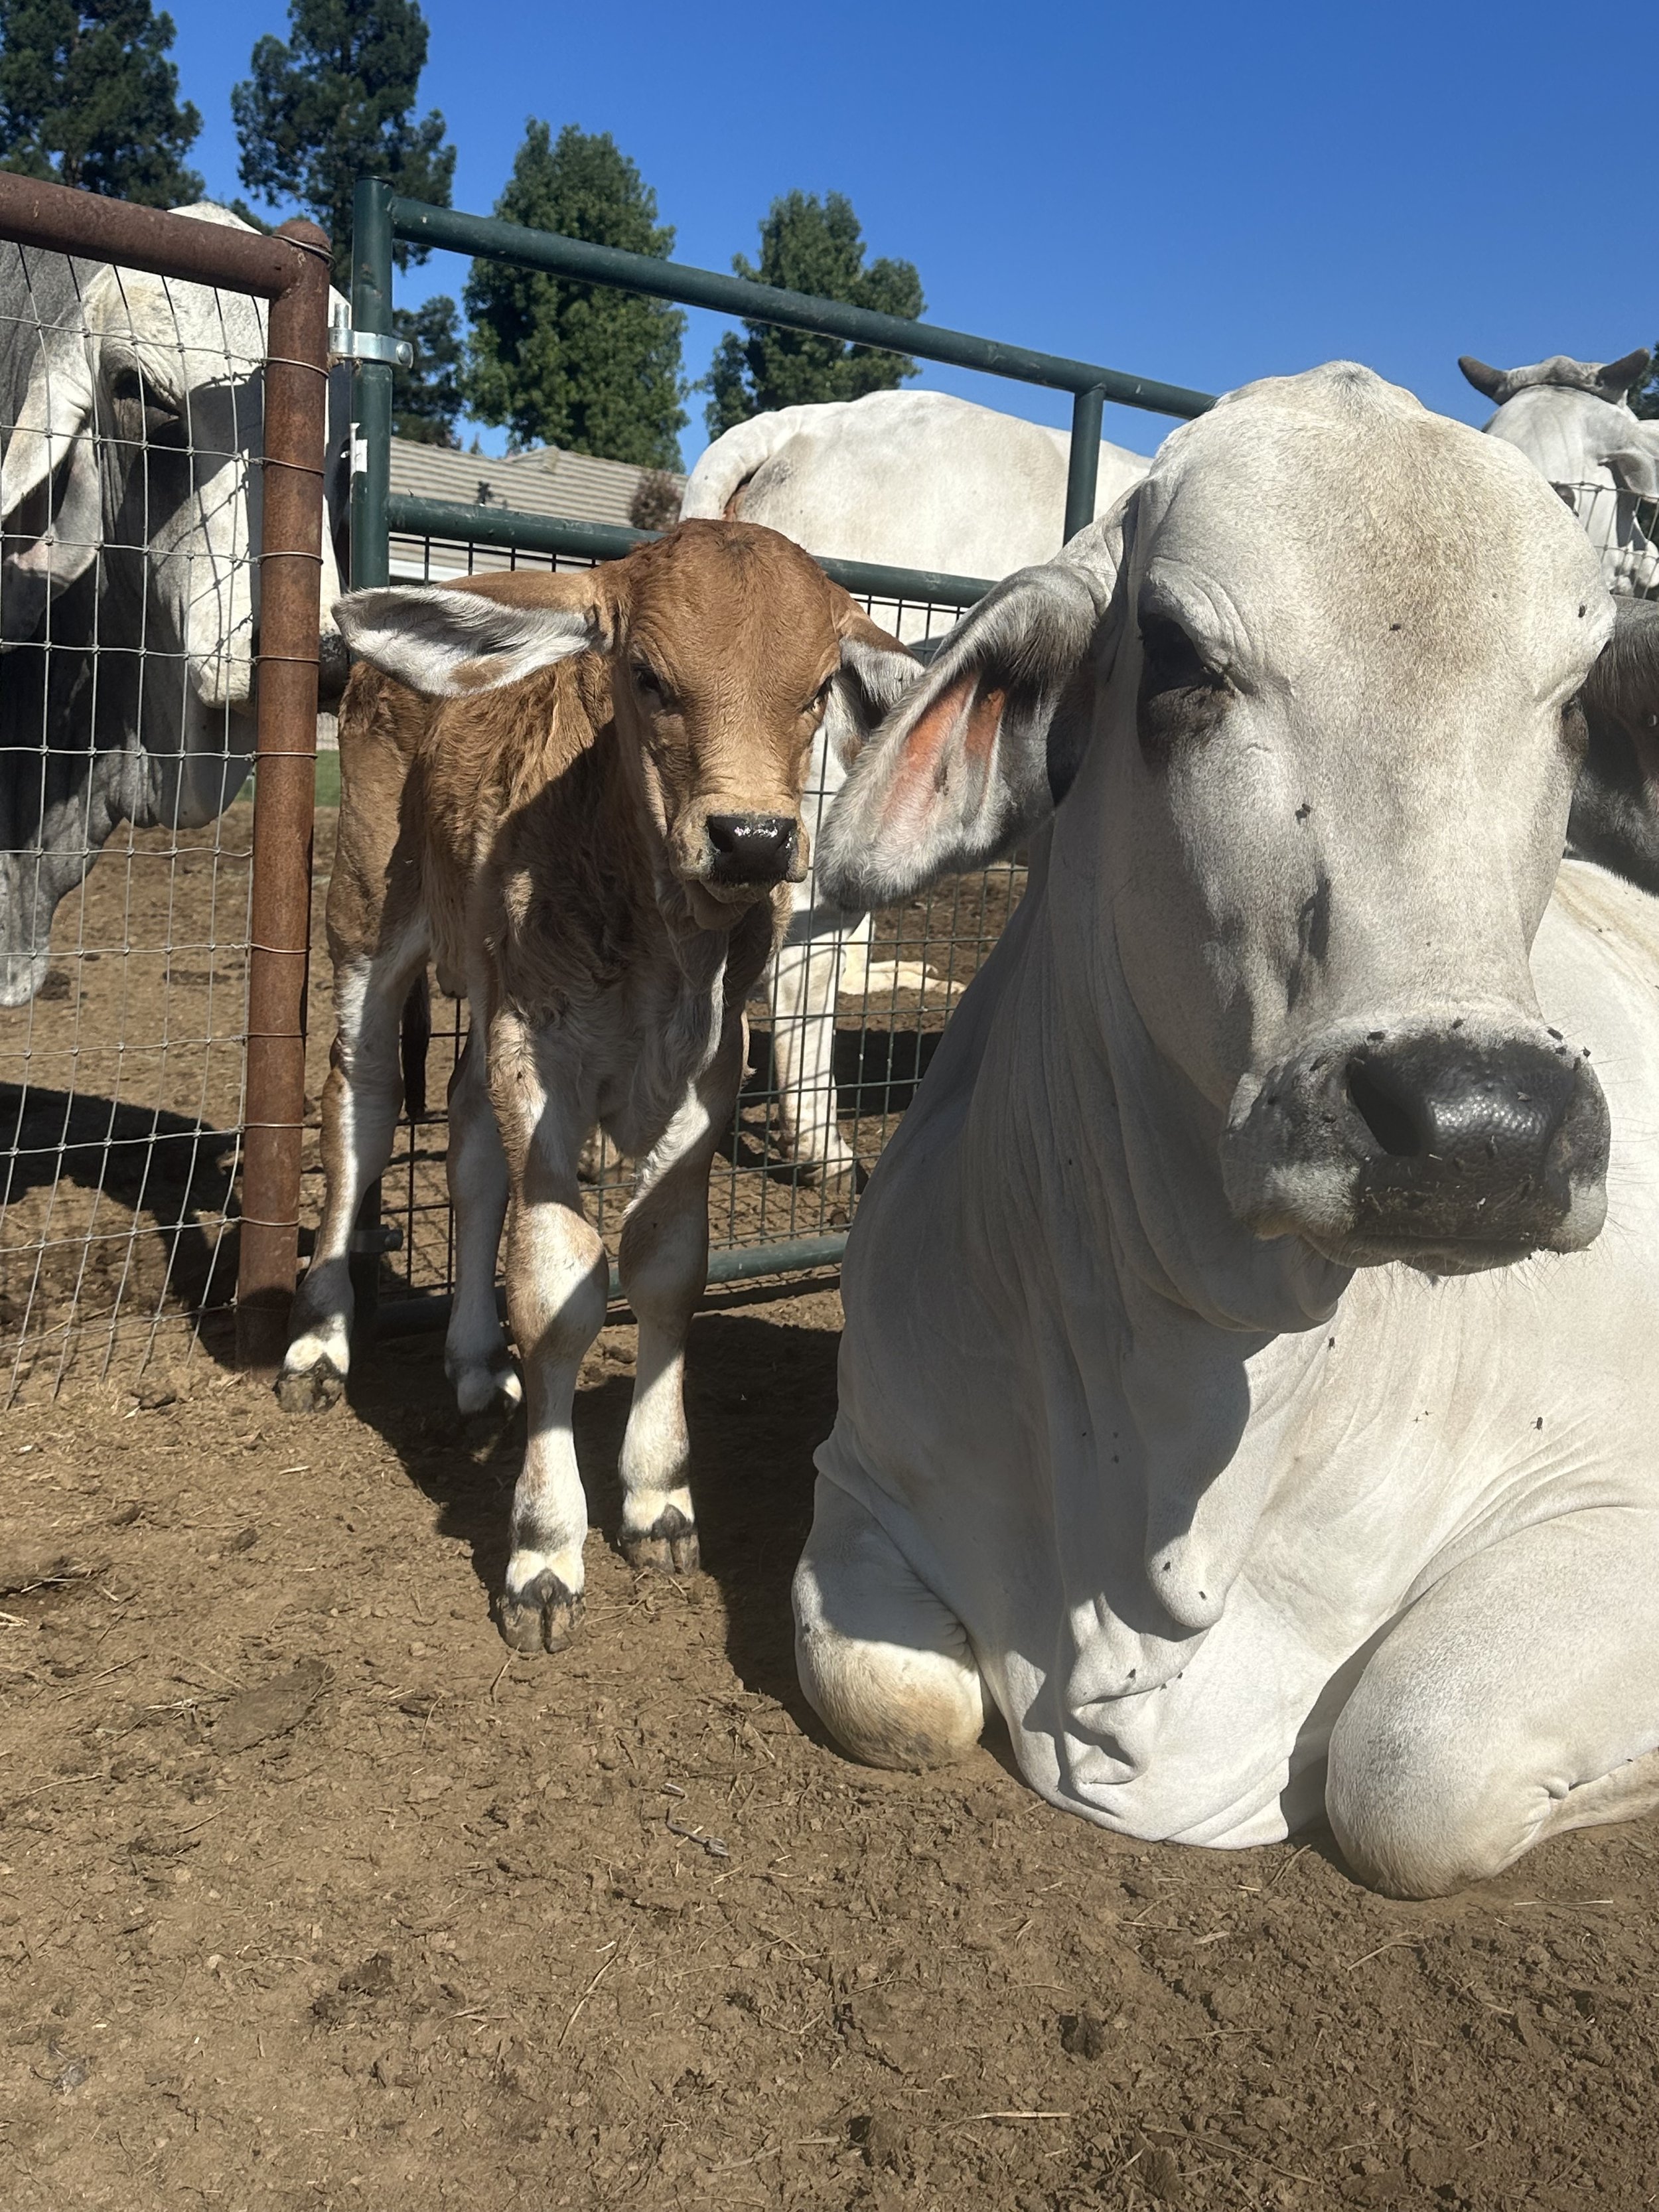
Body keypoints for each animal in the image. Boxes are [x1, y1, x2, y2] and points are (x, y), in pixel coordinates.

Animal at [275, 520, 918, 1653]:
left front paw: (659, 1499)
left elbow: (663, 1270)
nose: (754, 838)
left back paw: (475, 1362)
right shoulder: (543, 1056)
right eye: (650, 678)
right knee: (361, 1107)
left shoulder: (705, 1072)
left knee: (470, 1145)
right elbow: (558, 1286)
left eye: (815, 692)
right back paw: (319, 1341)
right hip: (365, 906)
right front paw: (542, 1549)